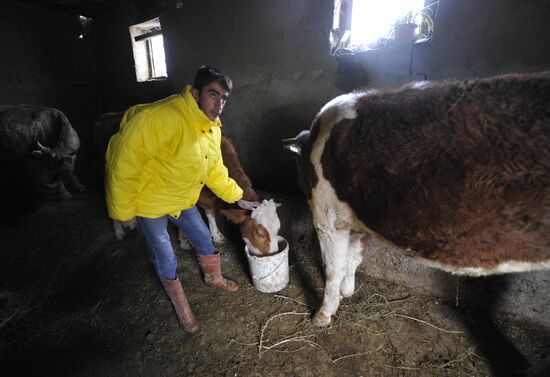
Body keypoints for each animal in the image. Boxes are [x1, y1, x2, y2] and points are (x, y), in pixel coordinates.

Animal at [284, 71, 550, 326]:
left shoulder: (326, 216)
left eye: (298, 164)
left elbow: (333, 268)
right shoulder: (355, 217)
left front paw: (323, 314)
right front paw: (346, 292)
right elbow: (354, 257)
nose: (298, 182)